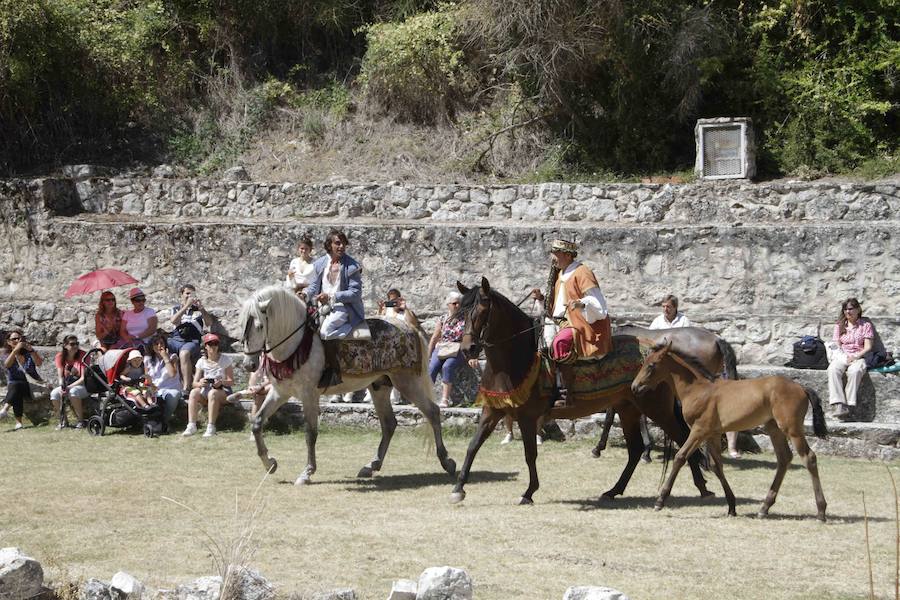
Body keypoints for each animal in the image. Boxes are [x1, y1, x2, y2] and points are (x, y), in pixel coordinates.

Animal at [237, 284, 458, 486]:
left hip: (407, 382)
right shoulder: (280, 392)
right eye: (242, 326)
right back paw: (371, 466)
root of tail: (409, 327)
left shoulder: (309, 395)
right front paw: (270, 463)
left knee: (432, 412)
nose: (249, 365)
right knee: (389, 423)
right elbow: (257, 422)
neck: (298, 343)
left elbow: (310, 433)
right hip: (380, 386)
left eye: (259, 326)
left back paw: (447, 462)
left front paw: (306, 472)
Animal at [450, 278, 716, 504]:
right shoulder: (492, 410)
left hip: (656, 408)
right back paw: (614, 490)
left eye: (482, 311)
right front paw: (458, 488)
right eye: (461, 313)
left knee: (681, 439)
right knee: (636, 449)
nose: (468, 349)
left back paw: (701, 488)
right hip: (628, 408)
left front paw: (529, 492)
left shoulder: (527, 417)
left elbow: (529, 454)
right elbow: (473, 445)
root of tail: (662, 354)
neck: (517, 357)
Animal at [628, 342, 828, 520]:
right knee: (784, 459)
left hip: (791, 429)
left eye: (651, 365)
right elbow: (716, 466)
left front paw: (660, 501)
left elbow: (680, 457)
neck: (698, 390)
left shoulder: (699, 431)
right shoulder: (713, 434)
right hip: (774, 429)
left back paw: (821, 511)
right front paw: (732, 506)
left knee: (809, 457)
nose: (634, 387)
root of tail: (801, 387)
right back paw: (764, 508)